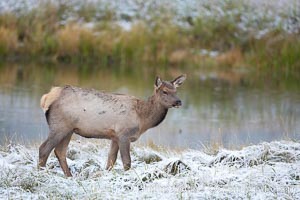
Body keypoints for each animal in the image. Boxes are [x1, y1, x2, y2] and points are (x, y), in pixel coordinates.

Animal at [39, 74, 186, 176]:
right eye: (165, 91)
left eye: (176, 91)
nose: (179, 101)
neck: (142, 119)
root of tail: (47, 97)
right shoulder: (124, 134)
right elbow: (127, 162)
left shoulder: (115, 137)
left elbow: (111, 160)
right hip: (59, 126)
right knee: (44, 149)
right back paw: (41, 174)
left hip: (68, 129)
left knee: (60, 152)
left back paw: (69, 176)